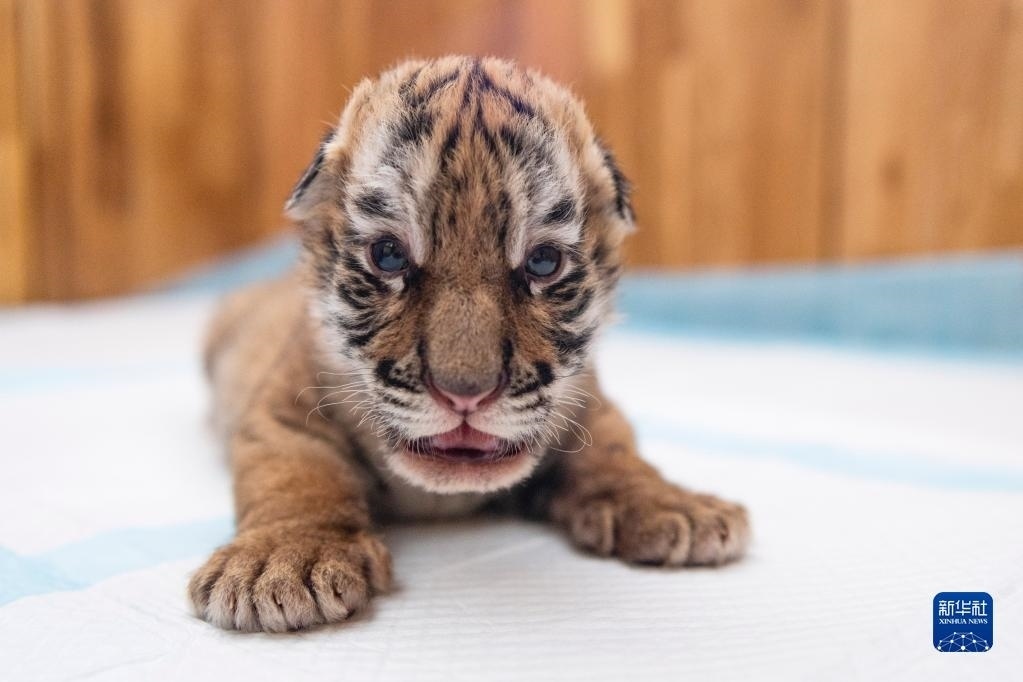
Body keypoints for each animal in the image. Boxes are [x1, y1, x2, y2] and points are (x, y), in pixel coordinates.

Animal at [188, 56, 750, 632]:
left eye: (543, 262)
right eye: (388, 256)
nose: (465, 395)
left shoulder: (587, 403)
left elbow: (616, 452)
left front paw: (675, 507)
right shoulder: (282, 409)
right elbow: (295, 473)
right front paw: (281, 561)